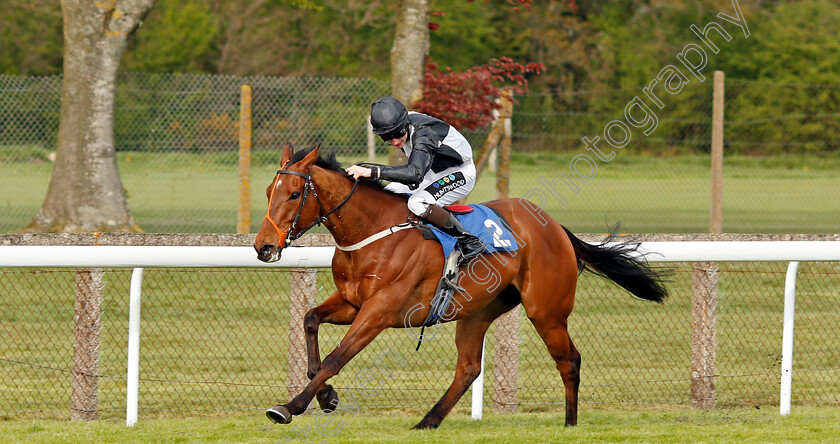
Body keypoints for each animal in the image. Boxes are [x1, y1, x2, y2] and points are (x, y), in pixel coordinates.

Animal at [253, 144, 668, 428]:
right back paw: (428, 421)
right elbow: (309, 321)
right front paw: (325, 397)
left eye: (294, 194)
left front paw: (289, 407)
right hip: (477, 312)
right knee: (468, 368)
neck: (372, 231)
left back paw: (569, 423)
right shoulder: (352, 302)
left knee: (569, 359)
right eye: (269, 191)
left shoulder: (380, 311)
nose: (264, 247)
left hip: (546, 311)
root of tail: (556, 227)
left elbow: (336, 358)